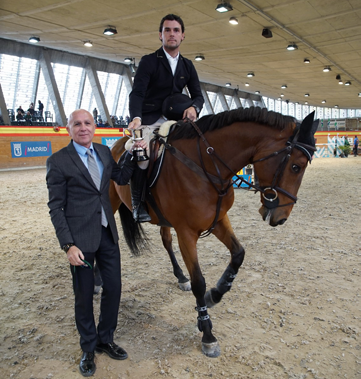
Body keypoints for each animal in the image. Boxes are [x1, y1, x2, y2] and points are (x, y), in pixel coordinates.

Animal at [109, 107, 316, 360]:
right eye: (296, 166)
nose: (281, 218)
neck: (206, 163)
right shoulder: (186, 233)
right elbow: (199, 282)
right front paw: (207, 333)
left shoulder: (218, 220)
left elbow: (238, 254)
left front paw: (216, 294)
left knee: (166, 241)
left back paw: (180, 277)